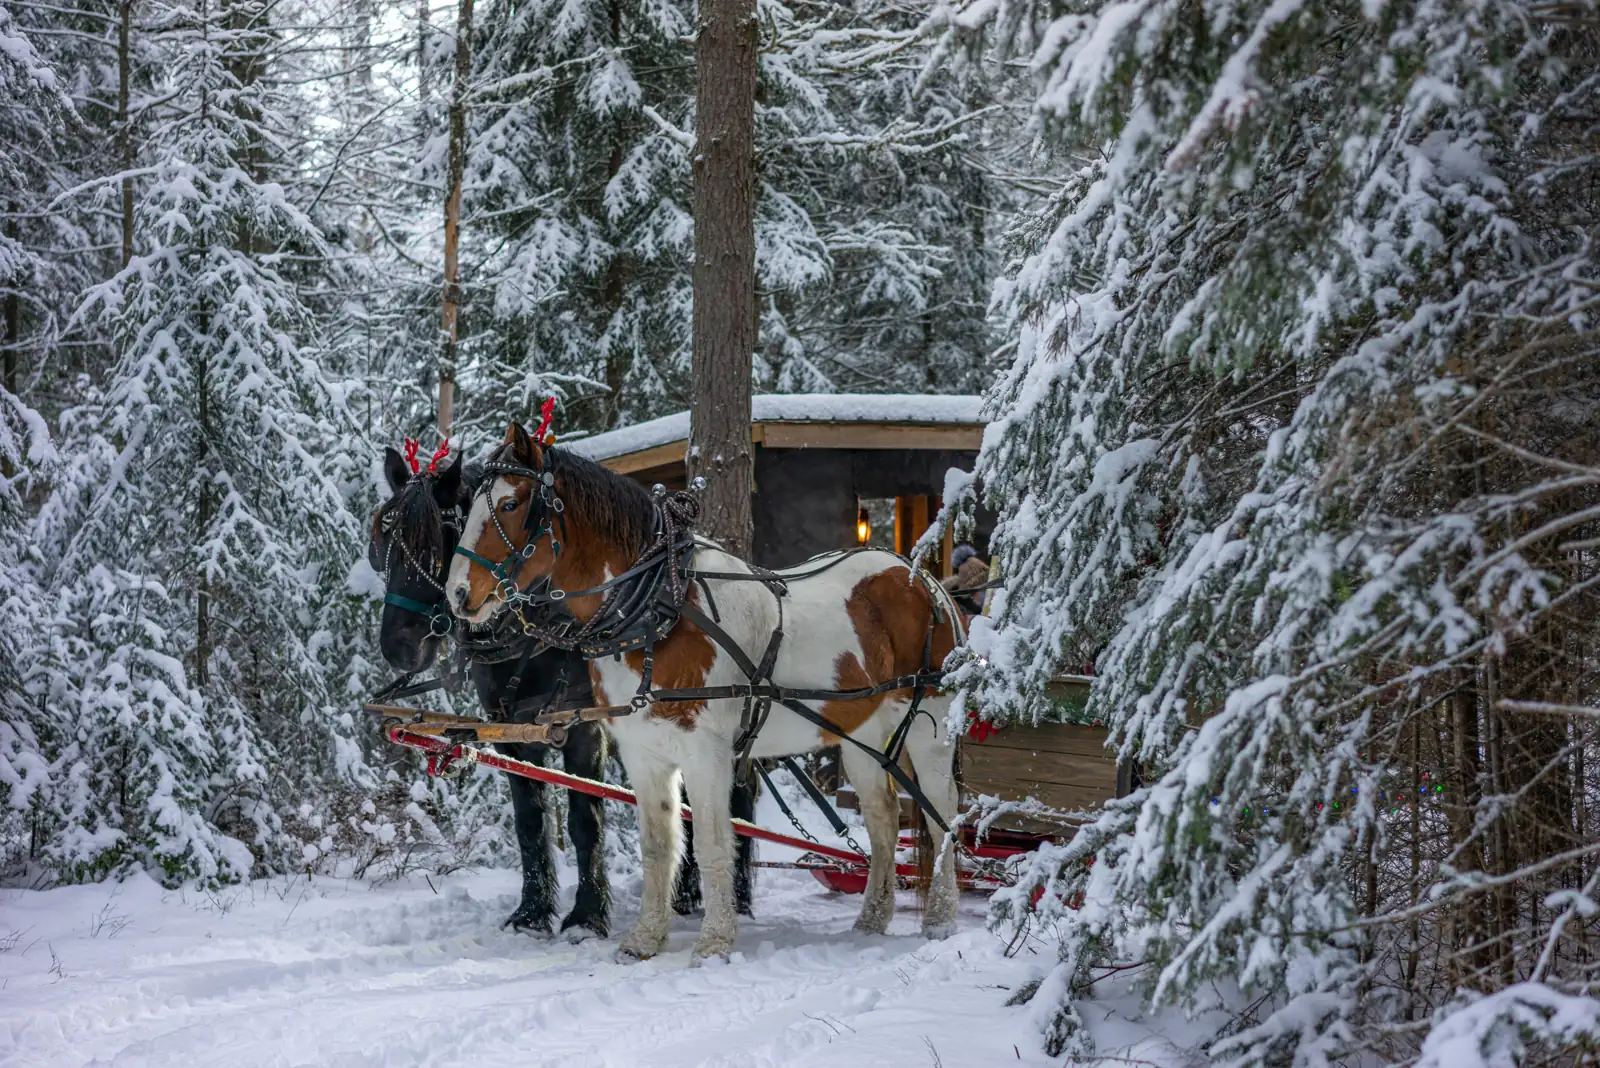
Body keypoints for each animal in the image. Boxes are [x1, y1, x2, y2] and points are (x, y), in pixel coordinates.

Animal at [368, 444, 755, 931]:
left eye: (435, 539)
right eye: (381, 545)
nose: (397, 647)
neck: (532, 635)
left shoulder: (582, 728)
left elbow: (583, 819)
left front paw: (587, 915)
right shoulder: (512, 733)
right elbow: (530, 822)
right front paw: (532, 911)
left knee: (735, 795)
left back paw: (732, 897)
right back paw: (686, 894)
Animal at [444, 423, 965, 963]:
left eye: (509, 504)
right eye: (467, 509)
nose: (457, 594)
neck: (657, 609)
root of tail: (923, 579)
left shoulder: (706, 749)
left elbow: (713, 841)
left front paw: (714, 942)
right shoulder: (643, 752)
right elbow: (659, 846)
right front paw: (645, 939)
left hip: (929, 730)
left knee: (941, 815)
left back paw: (941, 918)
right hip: (861, 736)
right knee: (884, 818)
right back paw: (873, 917)